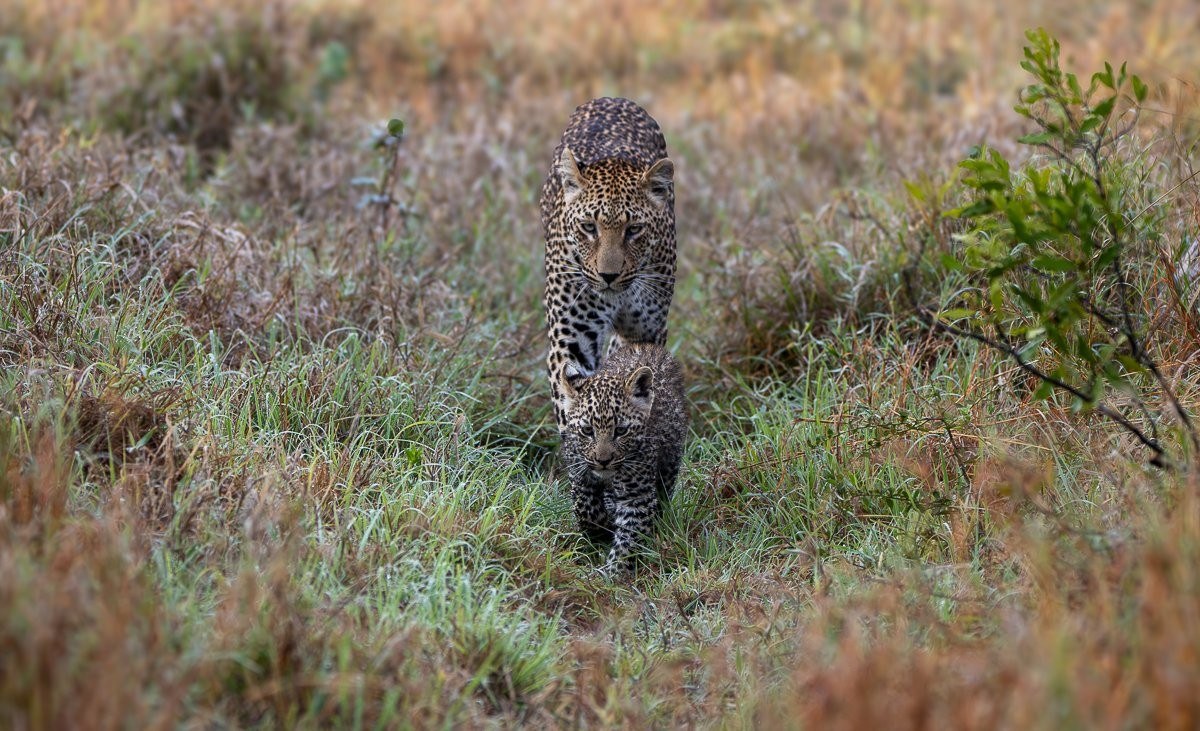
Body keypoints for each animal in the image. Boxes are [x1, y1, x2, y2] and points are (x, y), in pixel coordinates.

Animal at [540, 97, 676, 434]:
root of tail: (612, 98)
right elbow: (571, 401)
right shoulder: (572, 337)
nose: (608, 276)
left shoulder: (647, 332)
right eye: (589, 227)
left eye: (634, 230)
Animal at [558, 342, 688, 576]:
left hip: (669, 464)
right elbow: (586, 508)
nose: (603, 460)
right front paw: (599, 528)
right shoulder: (579, 476)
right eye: (587, 430)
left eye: (620, 431)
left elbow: (630, 536)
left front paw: (614, 573)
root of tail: (645, 347)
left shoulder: (637, 496)